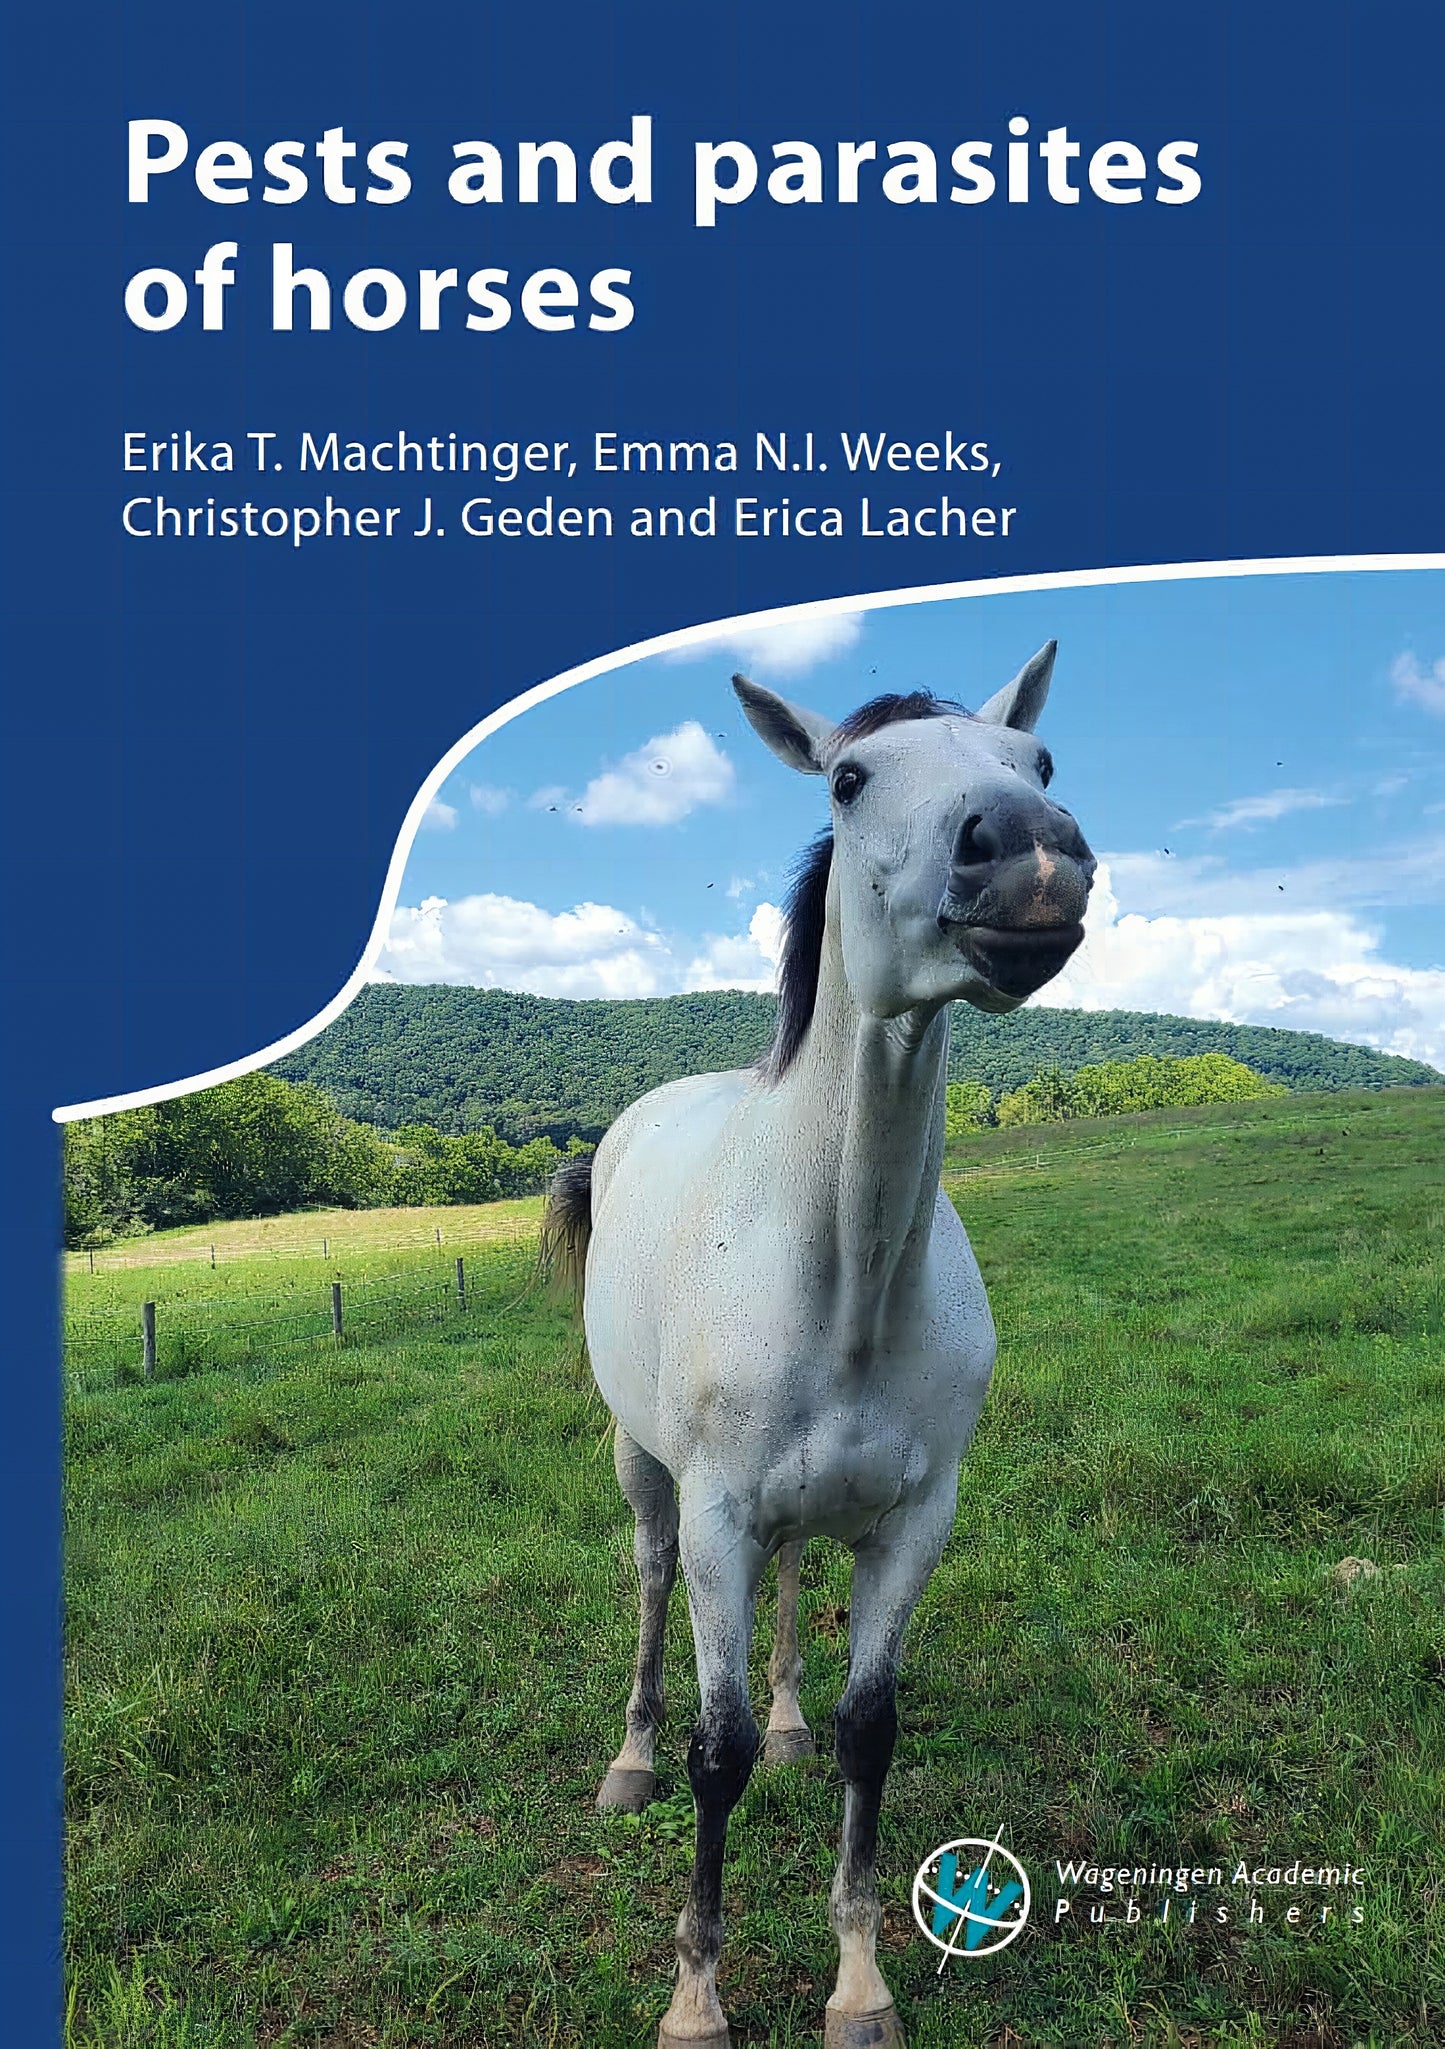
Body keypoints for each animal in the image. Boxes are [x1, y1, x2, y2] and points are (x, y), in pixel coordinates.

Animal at [541, 642, 1095, 2048]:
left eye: (1036, 762)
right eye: (846, 781)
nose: (1028, 854)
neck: (838, 1274)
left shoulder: (913, 1521)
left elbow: (867, 1730)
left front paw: (858, 1981)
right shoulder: (716, 1517)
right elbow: (716, 1754)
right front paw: (694, 1994)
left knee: (795, 1590)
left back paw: (787, 1717)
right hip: (643, 1470)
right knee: (644, 1582)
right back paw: (625, 1758)